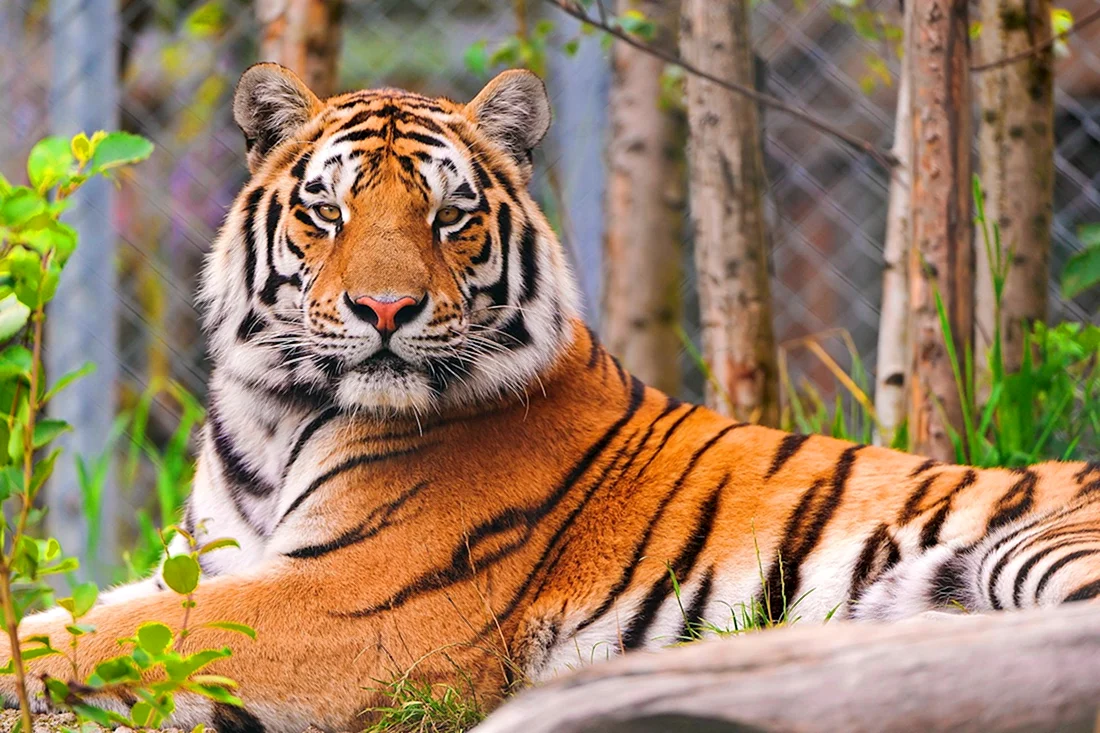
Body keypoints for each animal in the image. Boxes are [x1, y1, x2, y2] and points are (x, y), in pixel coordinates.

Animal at [3, 63, 1099, 732]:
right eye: (329, 211)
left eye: (448, 216)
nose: (386, 308)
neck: (274, 414)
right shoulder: (213, 560)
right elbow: (99, 612)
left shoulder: (355, 602)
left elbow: (121, 636)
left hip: (1032, 548)